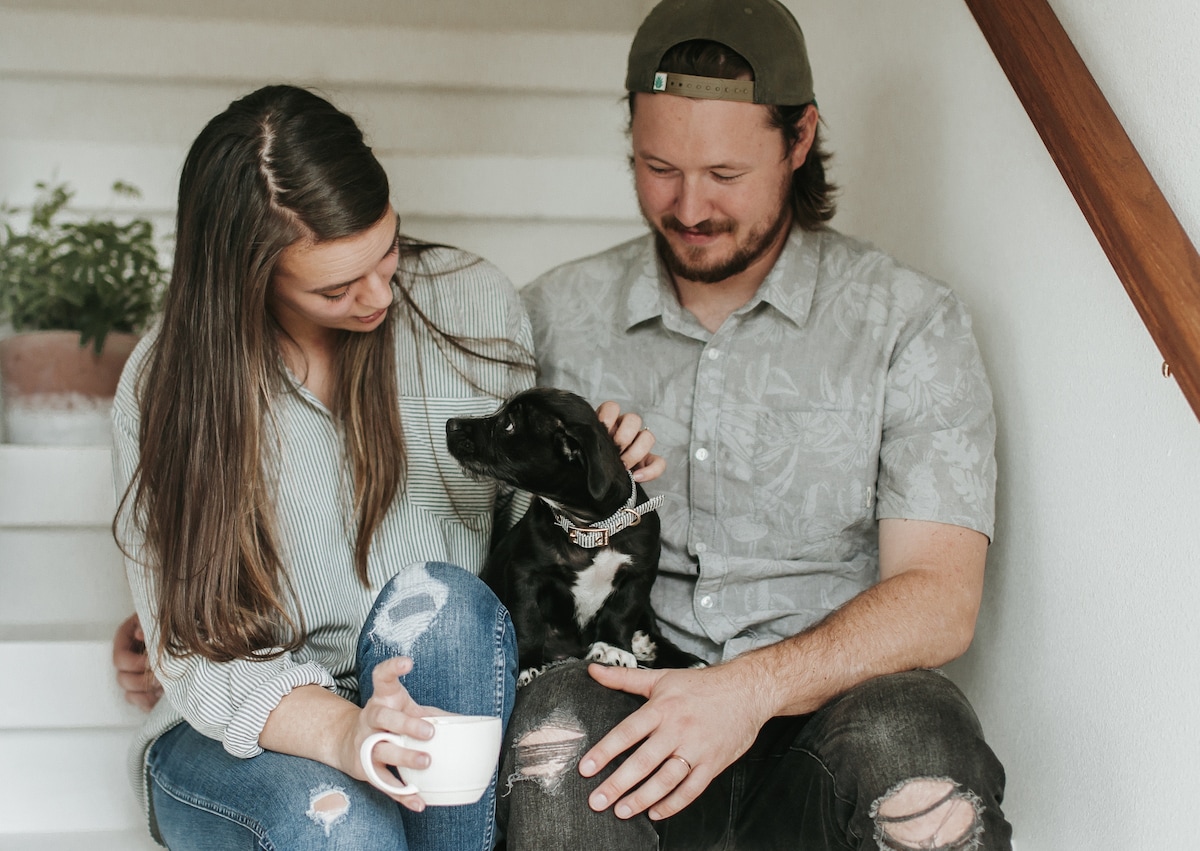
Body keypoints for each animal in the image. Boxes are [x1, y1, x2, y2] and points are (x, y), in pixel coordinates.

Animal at [446, 386, 700, 681]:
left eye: (508, 424)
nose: (450, 424)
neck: (590, 529)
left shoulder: (640, 575)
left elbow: (622, 612)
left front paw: (613, 646)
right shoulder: (525, 574)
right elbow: (527, 621)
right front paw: (527, 664)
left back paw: (674, 655)